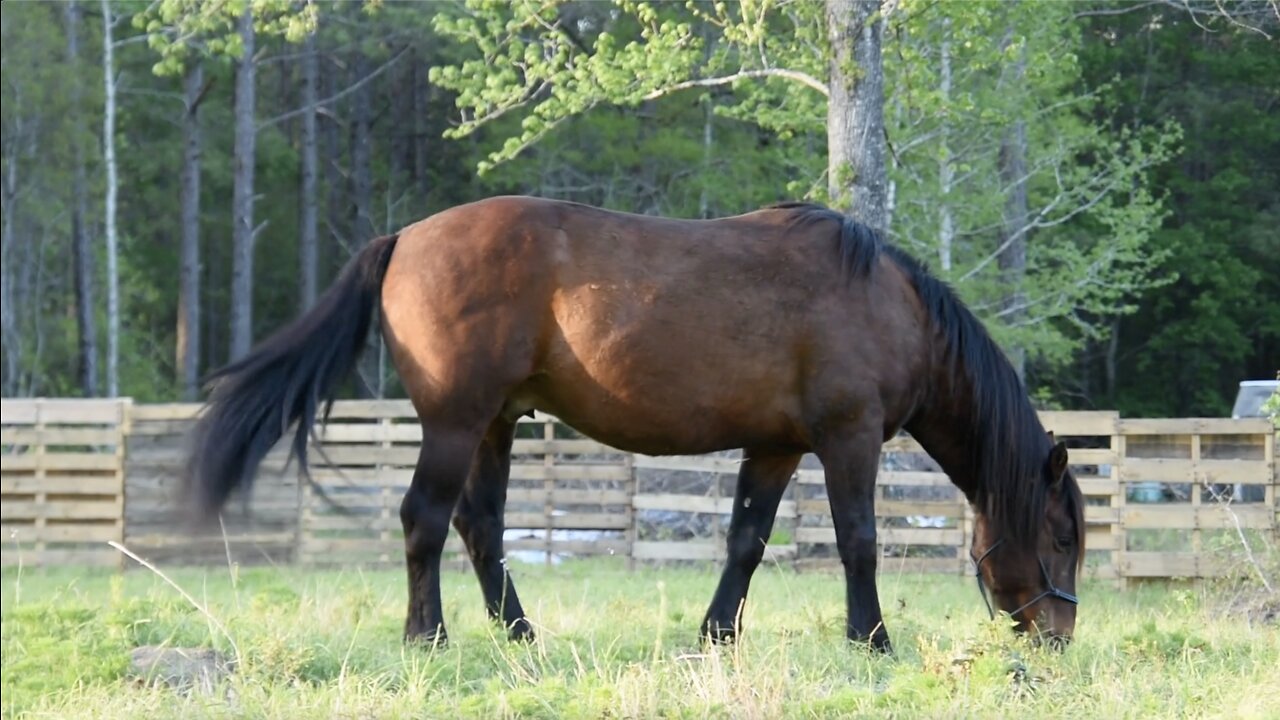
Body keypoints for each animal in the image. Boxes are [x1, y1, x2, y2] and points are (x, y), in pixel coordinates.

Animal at [185, 193, 1085, 648]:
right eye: (1062, 536)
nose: (1059, 635)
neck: (887, 304)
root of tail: (404, 237)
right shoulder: (848, 437)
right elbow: (859, 541)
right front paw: (872, 640)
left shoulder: (775, 446)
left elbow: (746, 540)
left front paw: (717, 633)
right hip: (455, 422)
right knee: (425, 520)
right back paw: (427, 637)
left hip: (495, 425)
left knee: (481, 526)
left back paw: (520, 634)